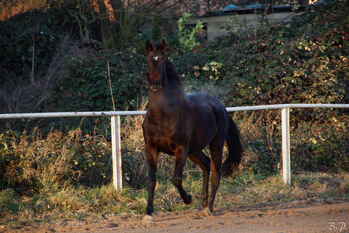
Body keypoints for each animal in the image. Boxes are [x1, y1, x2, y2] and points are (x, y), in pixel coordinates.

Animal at [141, 40, 242, 220]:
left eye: (163, 60)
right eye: (147, 60)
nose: (155, 83)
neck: (163, 116)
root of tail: (220, 106)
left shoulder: (181, 149)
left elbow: (176, 179)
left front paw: (188, 199)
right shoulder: (151, 148)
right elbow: (151, 181)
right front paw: (148, 213)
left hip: (215, 145)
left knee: (216, 174)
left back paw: (209, 208)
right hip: (194, 151)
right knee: (206, 164)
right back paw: (204, 203)